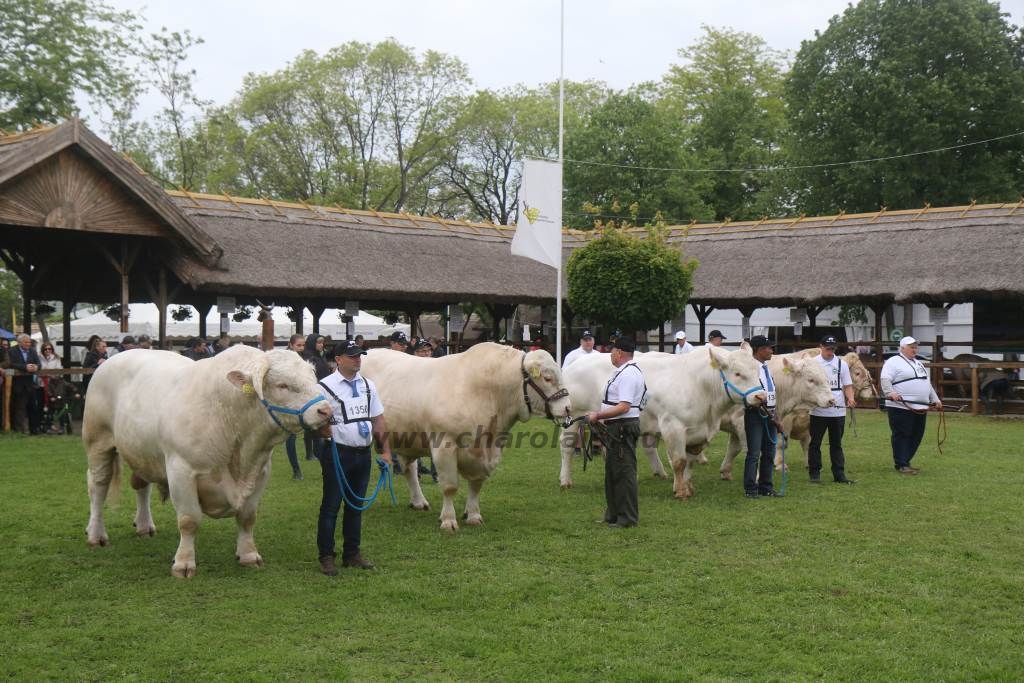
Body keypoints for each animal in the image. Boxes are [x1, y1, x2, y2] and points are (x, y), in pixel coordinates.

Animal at [84, 348, 331, 577]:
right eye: (283, 385)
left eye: (313, 378)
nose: (326, 410)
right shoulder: (181, 470)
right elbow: (189, 520)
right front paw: (183, 564)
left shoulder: (261, 472)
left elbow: (248, 517)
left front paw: (249, 555)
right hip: (98, 442)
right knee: (98, 487)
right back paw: (96, 534)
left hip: (142, 452)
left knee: (141, 486)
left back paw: (144, 526)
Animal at [360, 344, 573, 532]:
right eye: (547, 378)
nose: (568, 407)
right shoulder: (444, 446)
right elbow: (449, 487)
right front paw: (448, 520)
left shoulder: (487, 452)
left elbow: (476, 485)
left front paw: (473, 515)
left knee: (410, 469)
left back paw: (419, 501)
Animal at [561, 350, 770, 499]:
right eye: (738, 373)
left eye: (757, 371)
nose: (761, 397)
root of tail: (576, 363)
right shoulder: (673, 426)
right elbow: (679, 461)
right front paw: (680, 490)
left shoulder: (697, 433)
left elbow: (690, 460)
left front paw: (688, 485)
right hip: (573, 416)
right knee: (567, 448)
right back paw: (565, 481)